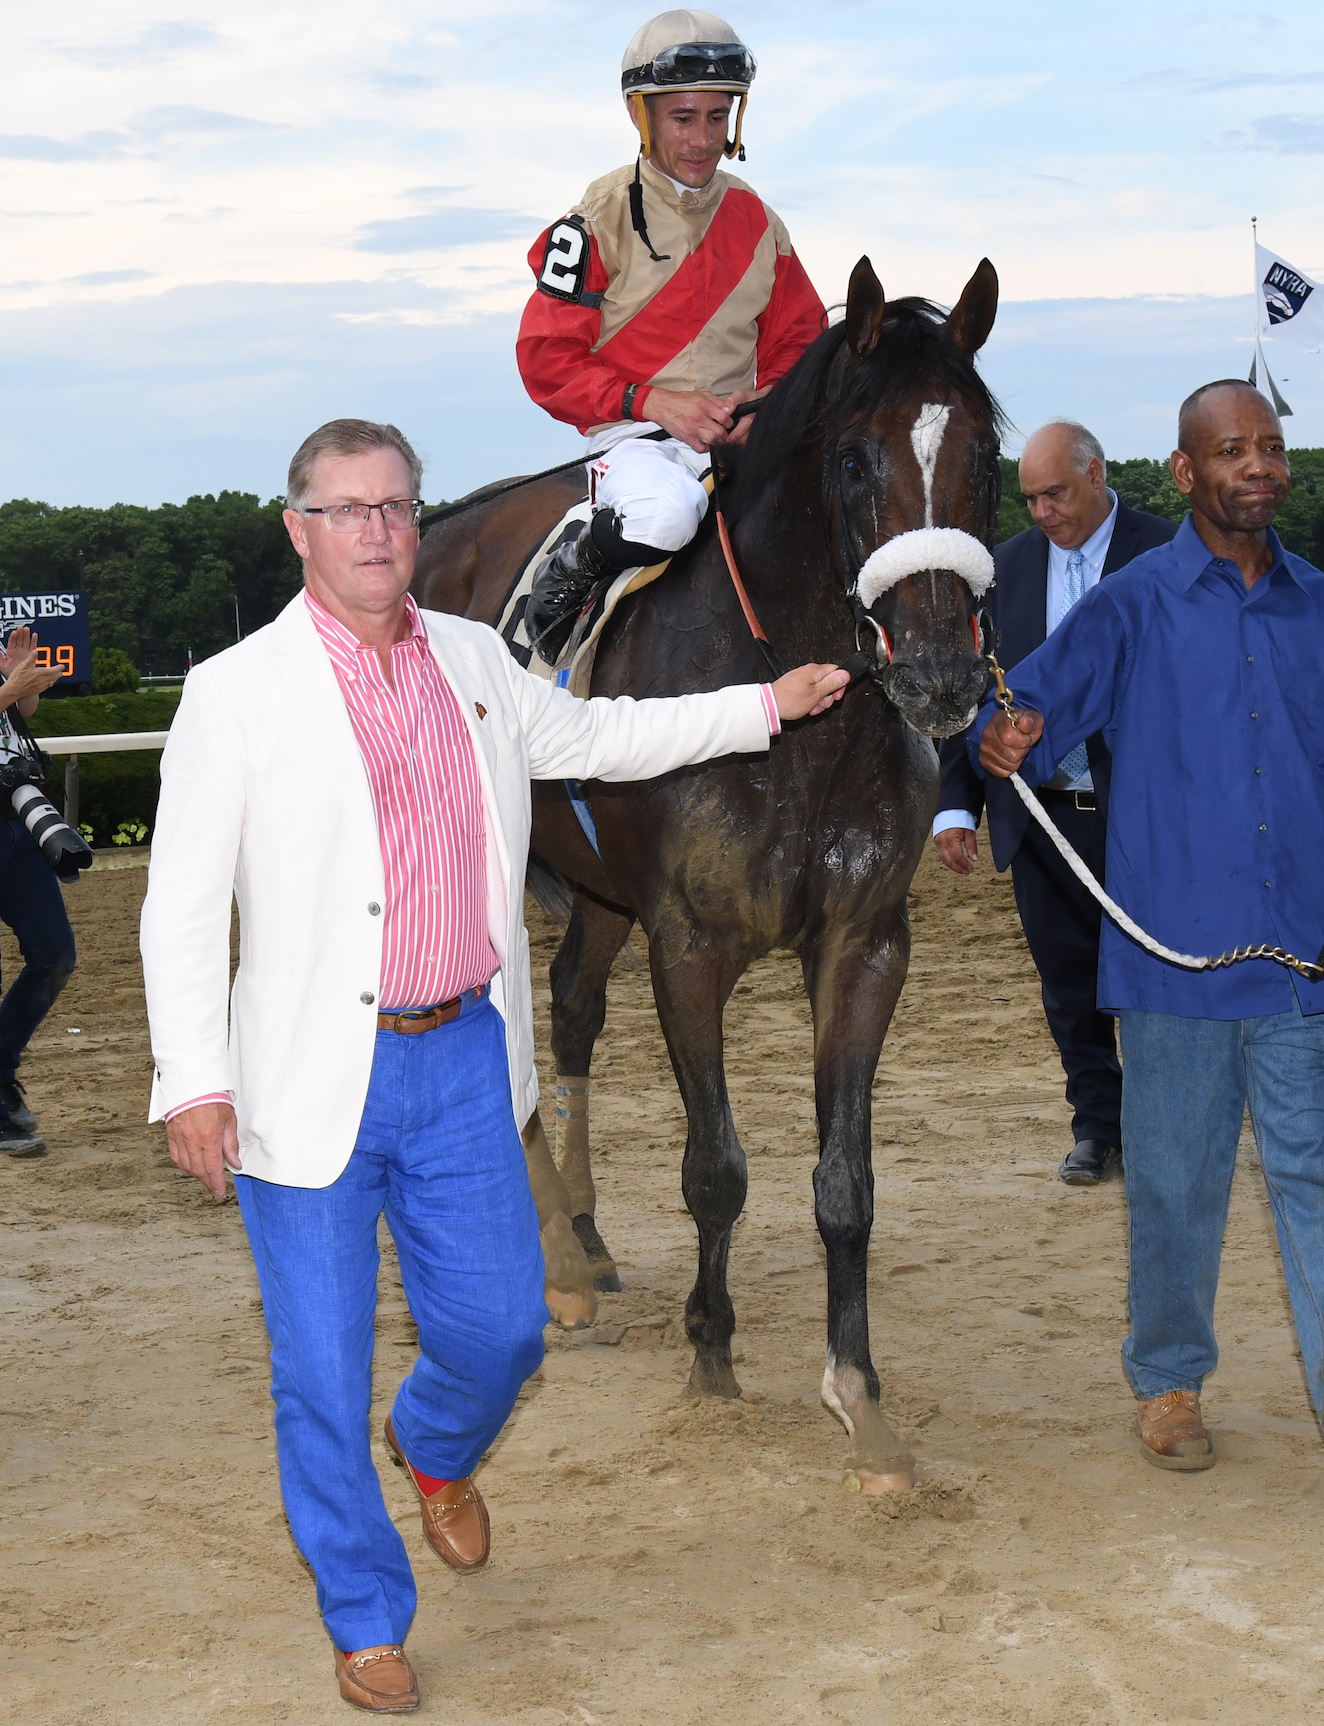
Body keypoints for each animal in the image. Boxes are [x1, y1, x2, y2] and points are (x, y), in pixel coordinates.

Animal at [414, 258, 1008, 1498]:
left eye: (984, 453)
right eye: (853, 458)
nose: (939, 671)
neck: (796, 721)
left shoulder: (865, 945)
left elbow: (846, 1183)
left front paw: (859, 1397)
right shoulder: (689, 944)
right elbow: (717, 1168)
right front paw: (712, 1358)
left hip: (596, 892)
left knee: (572, 1011)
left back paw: (584, 1235)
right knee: (508, 1047)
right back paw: (556, 1265)